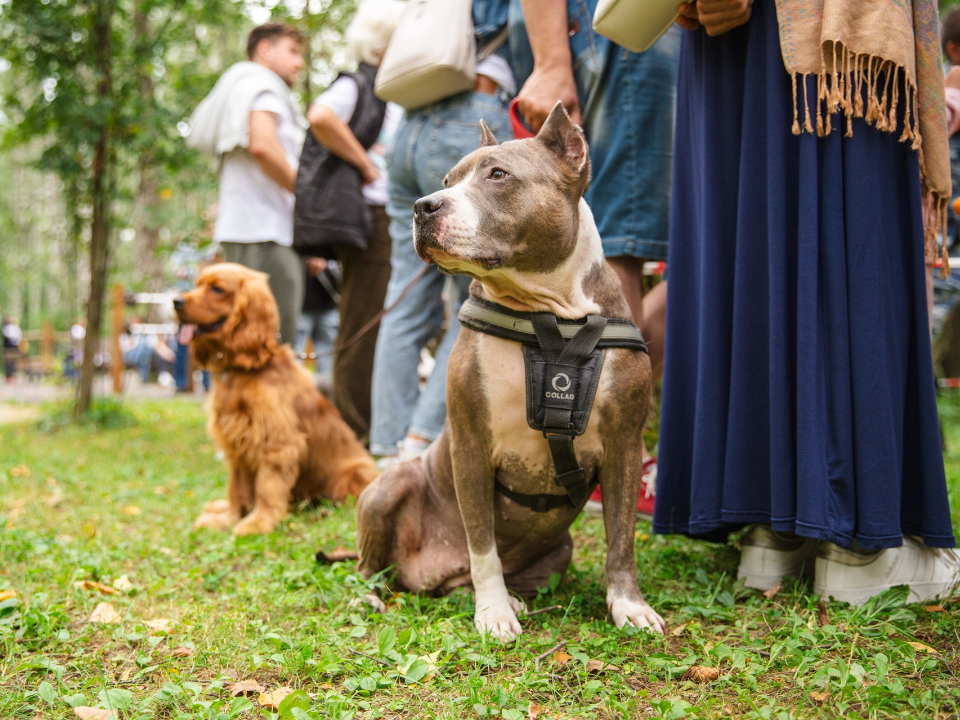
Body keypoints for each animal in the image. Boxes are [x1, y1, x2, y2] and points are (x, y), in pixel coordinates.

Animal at [356, 102, 664, 640]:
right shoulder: (471, 446)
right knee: (372, 566)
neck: (551, 317)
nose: (422, 206)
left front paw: (629, 605)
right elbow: (483, 545)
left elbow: (622, 538)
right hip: (386, 490)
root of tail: (428, 575)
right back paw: (378, 596)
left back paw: (511, 597)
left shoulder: (625, 446)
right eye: (446, 179)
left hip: (559, 550)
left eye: (498, 175)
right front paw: (494, 612)